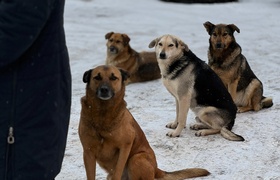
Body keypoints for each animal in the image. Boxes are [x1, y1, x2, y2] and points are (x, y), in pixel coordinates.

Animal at [77, 64, 209, 180]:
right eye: (97, 77)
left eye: (113, 78)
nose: (104, 90)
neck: (103, 114)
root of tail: (156, 169)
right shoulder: (88, 152)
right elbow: (90, 175)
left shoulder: (125, 146)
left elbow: (117, 171)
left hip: (137, 158)